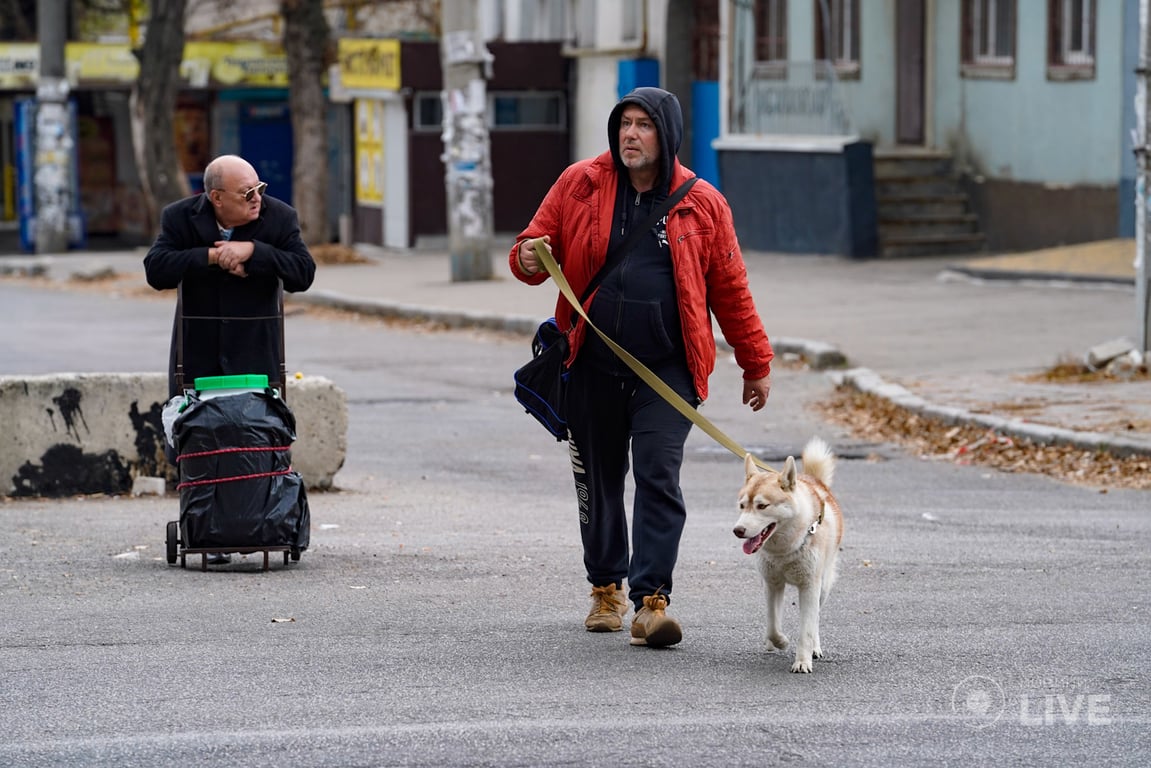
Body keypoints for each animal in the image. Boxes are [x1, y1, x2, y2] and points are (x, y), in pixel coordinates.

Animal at [732, 437, 842, 672]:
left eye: (762, 506)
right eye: (742, 505)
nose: (738, 530)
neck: (785, 550)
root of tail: (814, 480)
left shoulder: (810, 587)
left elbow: (807, 629)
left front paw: (802, 661)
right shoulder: (772, 584)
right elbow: (772, 623)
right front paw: (780, 641)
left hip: (824, 586)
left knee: (816, 619)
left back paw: (815, 648)